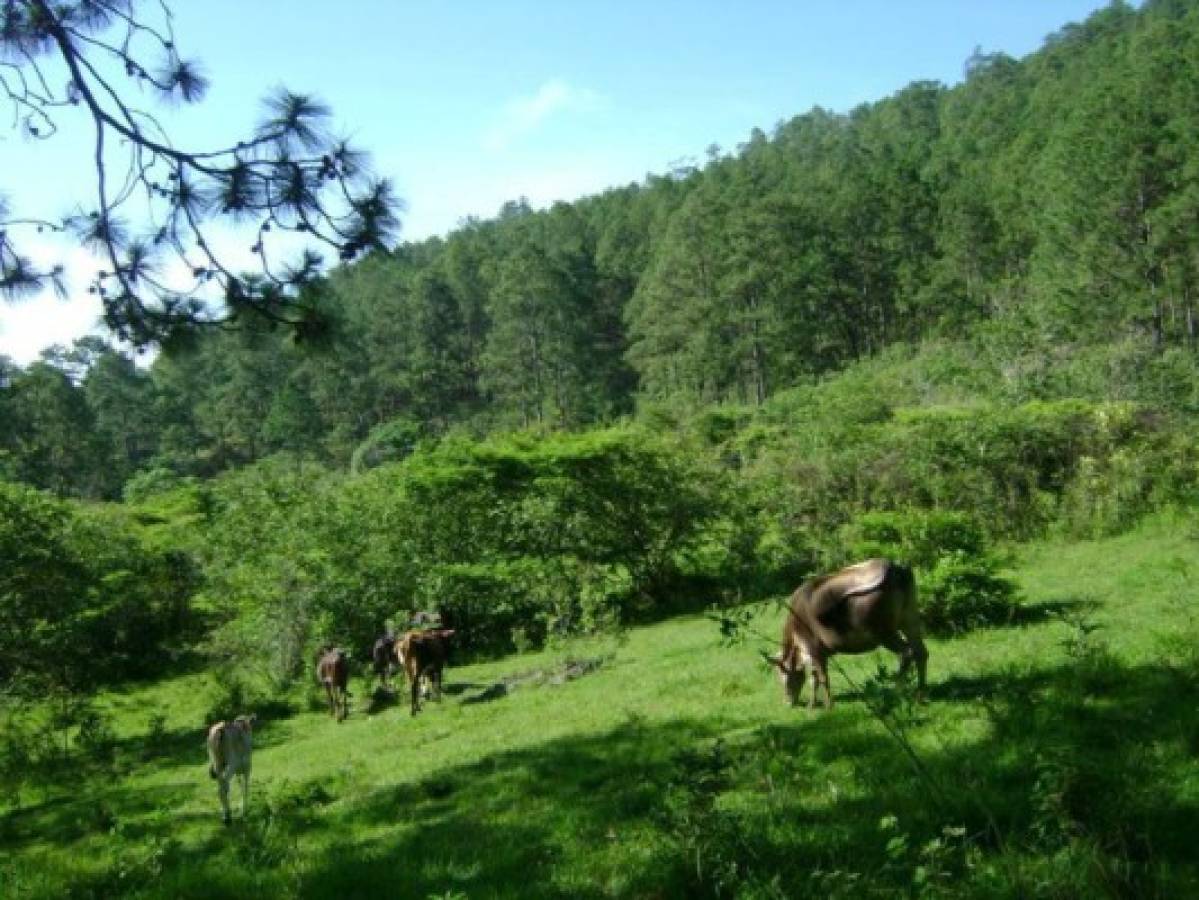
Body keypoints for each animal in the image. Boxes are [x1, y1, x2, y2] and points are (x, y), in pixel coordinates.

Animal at [772, 556, 930, 709]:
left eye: (784, 676)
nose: (788, 703)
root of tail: (894, 568)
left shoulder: (814, 649)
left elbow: (821, 677)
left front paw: (827, 705)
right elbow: (815, 678)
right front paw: (813, 704)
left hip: (884, 633)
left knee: (906, 653)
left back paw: (898, 693)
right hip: (910, 620)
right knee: (921, 652)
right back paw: (920, 694)